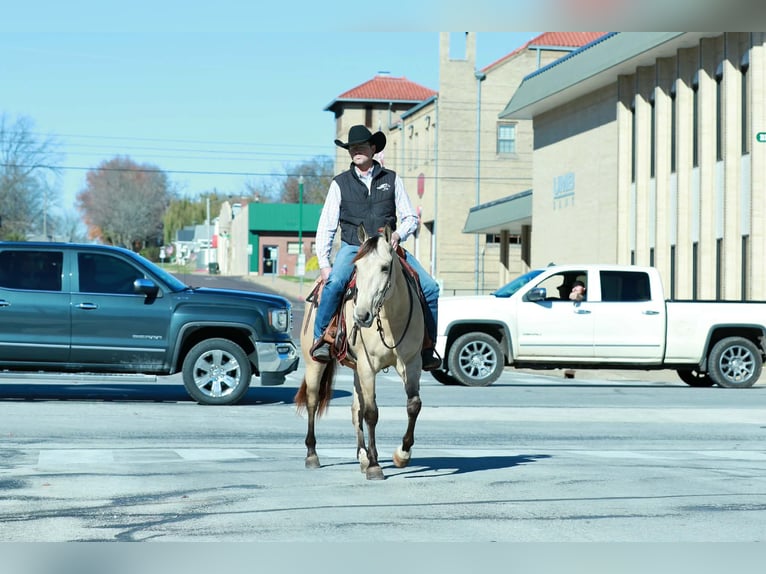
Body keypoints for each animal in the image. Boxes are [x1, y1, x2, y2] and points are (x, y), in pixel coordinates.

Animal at [294, 224, 424, 480]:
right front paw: (375, 466)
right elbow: (372, 413)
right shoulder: (367, 366)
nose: (361, 316)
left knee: (356, 410)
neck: (390, 320)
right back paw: (312, 454)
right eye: (356, 268)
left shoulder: (412, 363)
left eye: (384, 267)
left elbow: (413, 404)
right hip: (315, 363)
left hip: (355, 369)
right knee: (313, 401)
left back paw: (362, 456)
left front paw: (402, 454)